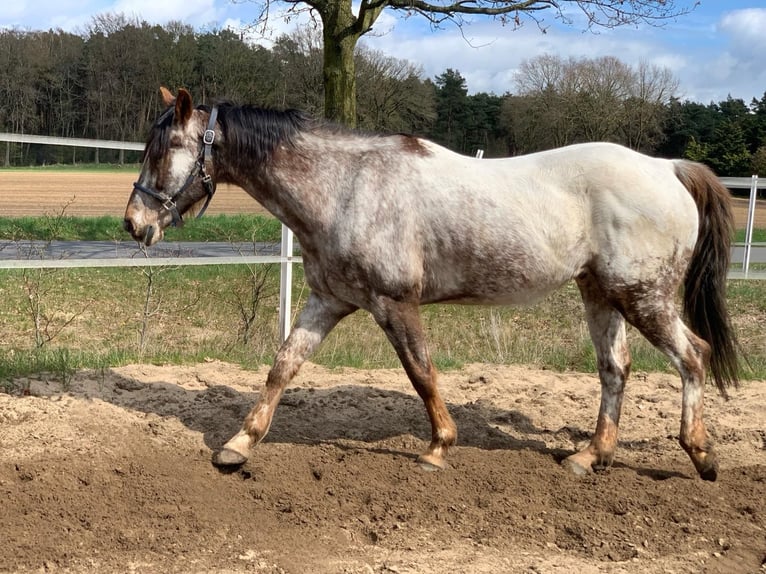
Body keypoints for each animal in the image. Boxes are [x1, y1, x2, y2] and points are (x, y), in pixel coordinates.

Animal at [124, 87, 739, 481]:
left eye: (164, 149)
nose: (134, 223)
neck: (346, 186)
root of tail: (667, 168)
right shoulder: (329, 300)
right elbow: (283, 367)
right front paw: (238, 446)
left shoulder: (395, 304)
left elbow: (422, 374)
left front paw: (439, 448)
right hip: (600, 294)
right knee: (616, 369)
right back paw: (589, 458)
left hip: (644, 296)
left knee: (693, 356)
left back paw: (701, 456)